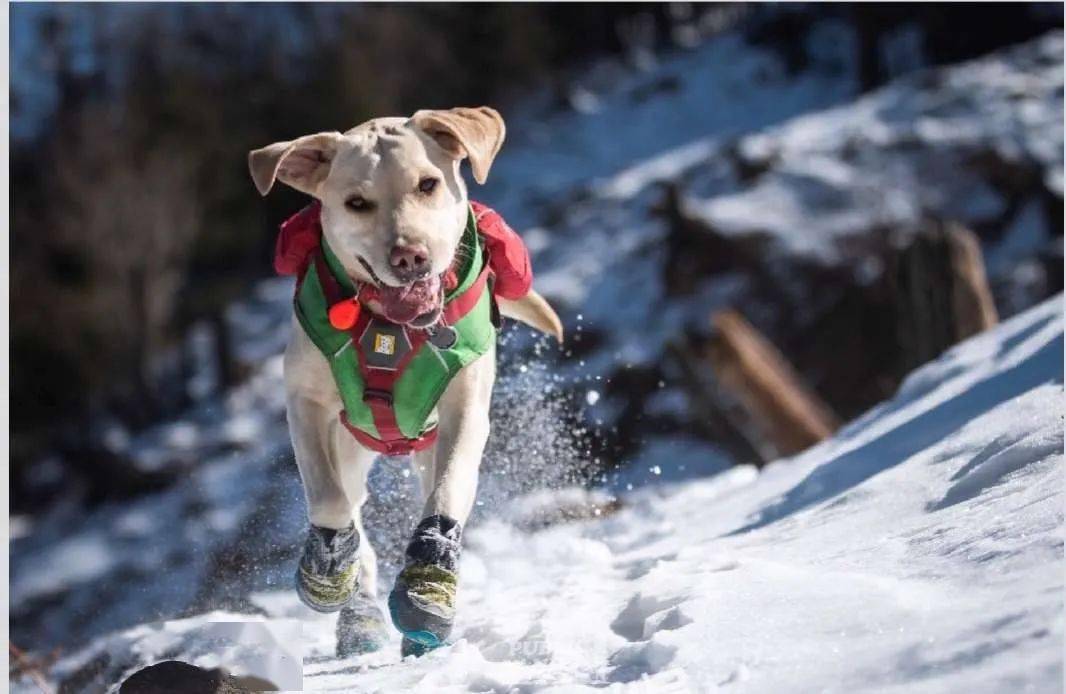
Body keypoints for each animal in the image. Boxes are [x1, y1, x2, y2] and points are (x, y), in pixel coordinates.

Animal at [246, 104, 562, 656]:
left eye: (428, 183)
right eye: (356, 203)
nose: (410, 256)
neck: (390, 329)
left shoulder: (465, 410)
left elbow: (447, 492)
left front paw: (426, 591)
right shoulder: (306, 404)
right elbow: (330, 501)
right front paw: (329, 572)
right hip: (350, 445)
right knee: (351, 502)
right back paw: (358, 614)